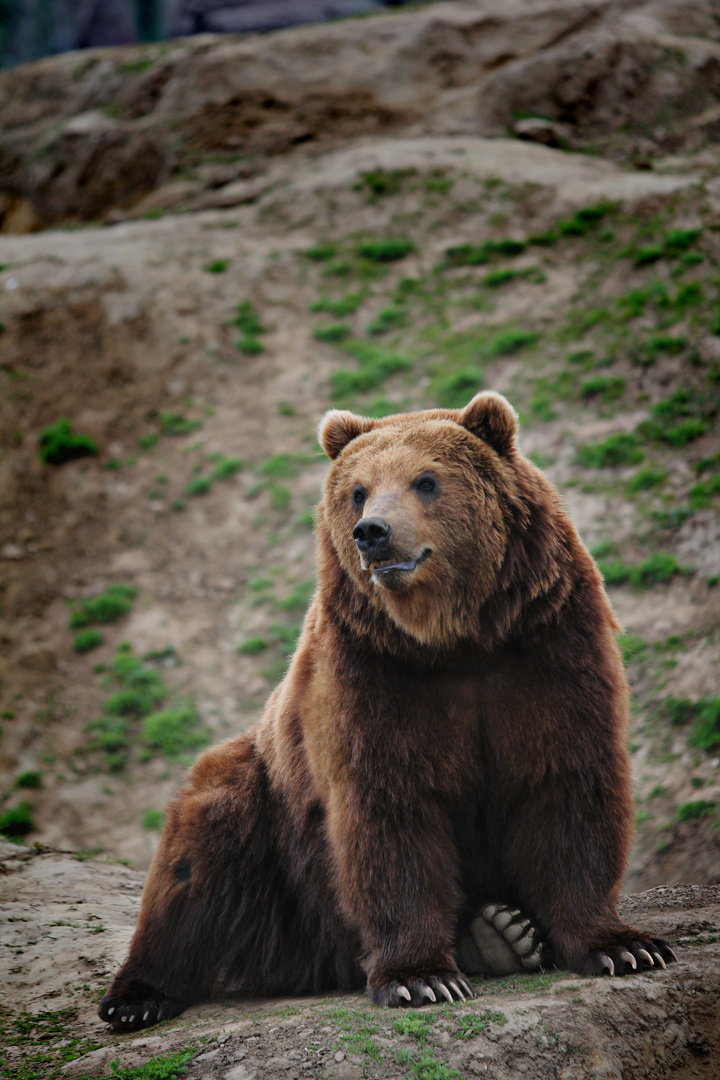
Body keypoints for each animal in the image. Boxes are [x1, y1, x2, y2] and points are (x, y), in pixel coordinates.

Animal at [98, 390, 677, 1028]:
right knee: (197, 855)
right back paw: (136, 997)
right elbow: (390, 812)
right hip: (272, 824)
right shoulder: (374, 674)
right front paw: (421, 977)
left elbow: (567, 783)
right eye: (358, 489)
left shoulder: (547, 646)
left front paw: (625, 946)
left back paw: (503, 932)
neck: (457, 637)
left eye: (426, 480)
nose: (371, 532)